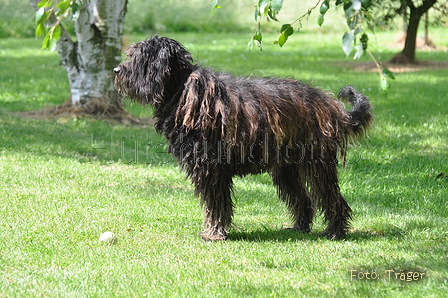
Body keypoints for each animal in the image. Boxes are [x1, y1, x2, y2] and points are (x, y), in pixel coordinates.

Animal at [114, 36, 372, 242]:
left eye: (138, 57)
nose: (116, 70)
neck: (180, 87)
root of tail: (330, 106)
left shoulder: (211, 169)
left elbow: (217, 204)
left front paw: (214, 233)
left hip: (316, 164)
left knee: (331, 197)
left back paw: (335, 231)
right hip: (286, 167)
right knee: (302, 198)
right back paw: (299, 226)